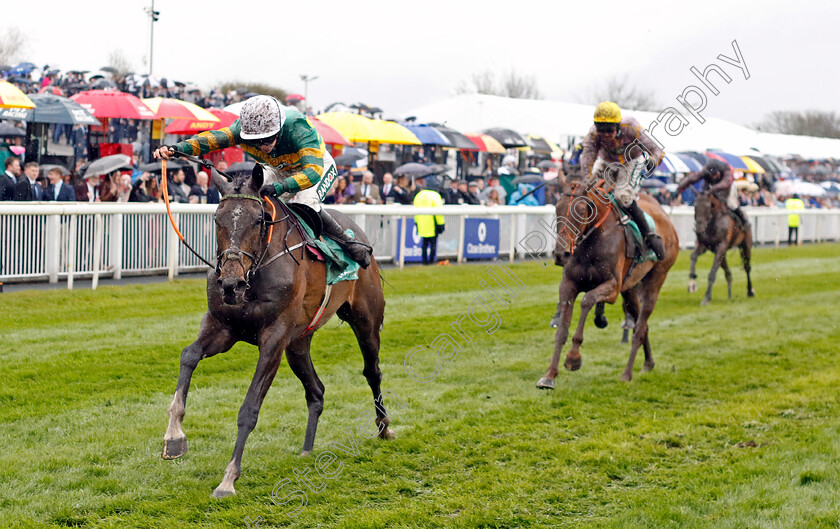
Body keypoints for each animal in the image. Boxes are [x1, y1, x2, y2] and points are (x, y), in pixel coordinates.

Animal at [162, 165, 396, 496]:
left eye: (259, 220)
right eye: (217, 218)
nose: (231, 284)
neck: (254, 275)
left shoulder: (274, 338)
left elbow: (249, 409)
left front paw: (229, 478)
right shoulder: (223, 327)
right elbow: (189, 355)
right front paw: (174, 437)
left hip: (365, 320)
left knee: (372, 371)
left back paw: (384, 427)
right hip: (298, 342)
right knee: (316, 391)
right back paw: (307, 449)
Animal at [540, 183, 684, 384]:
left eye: (582, 209)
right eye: (557, 208)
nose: (562, 254)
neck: (592, 242)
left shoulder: (613, 288)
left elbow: (587, 300)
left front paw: (573, 357)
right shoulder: (568, 284)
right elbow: (562, 329)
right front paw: (549, 375)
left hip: (656, 278)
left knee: (640, 328)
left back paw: (627, 374)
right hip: (629, 290)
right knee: (642, 324)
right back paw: (648, 363)